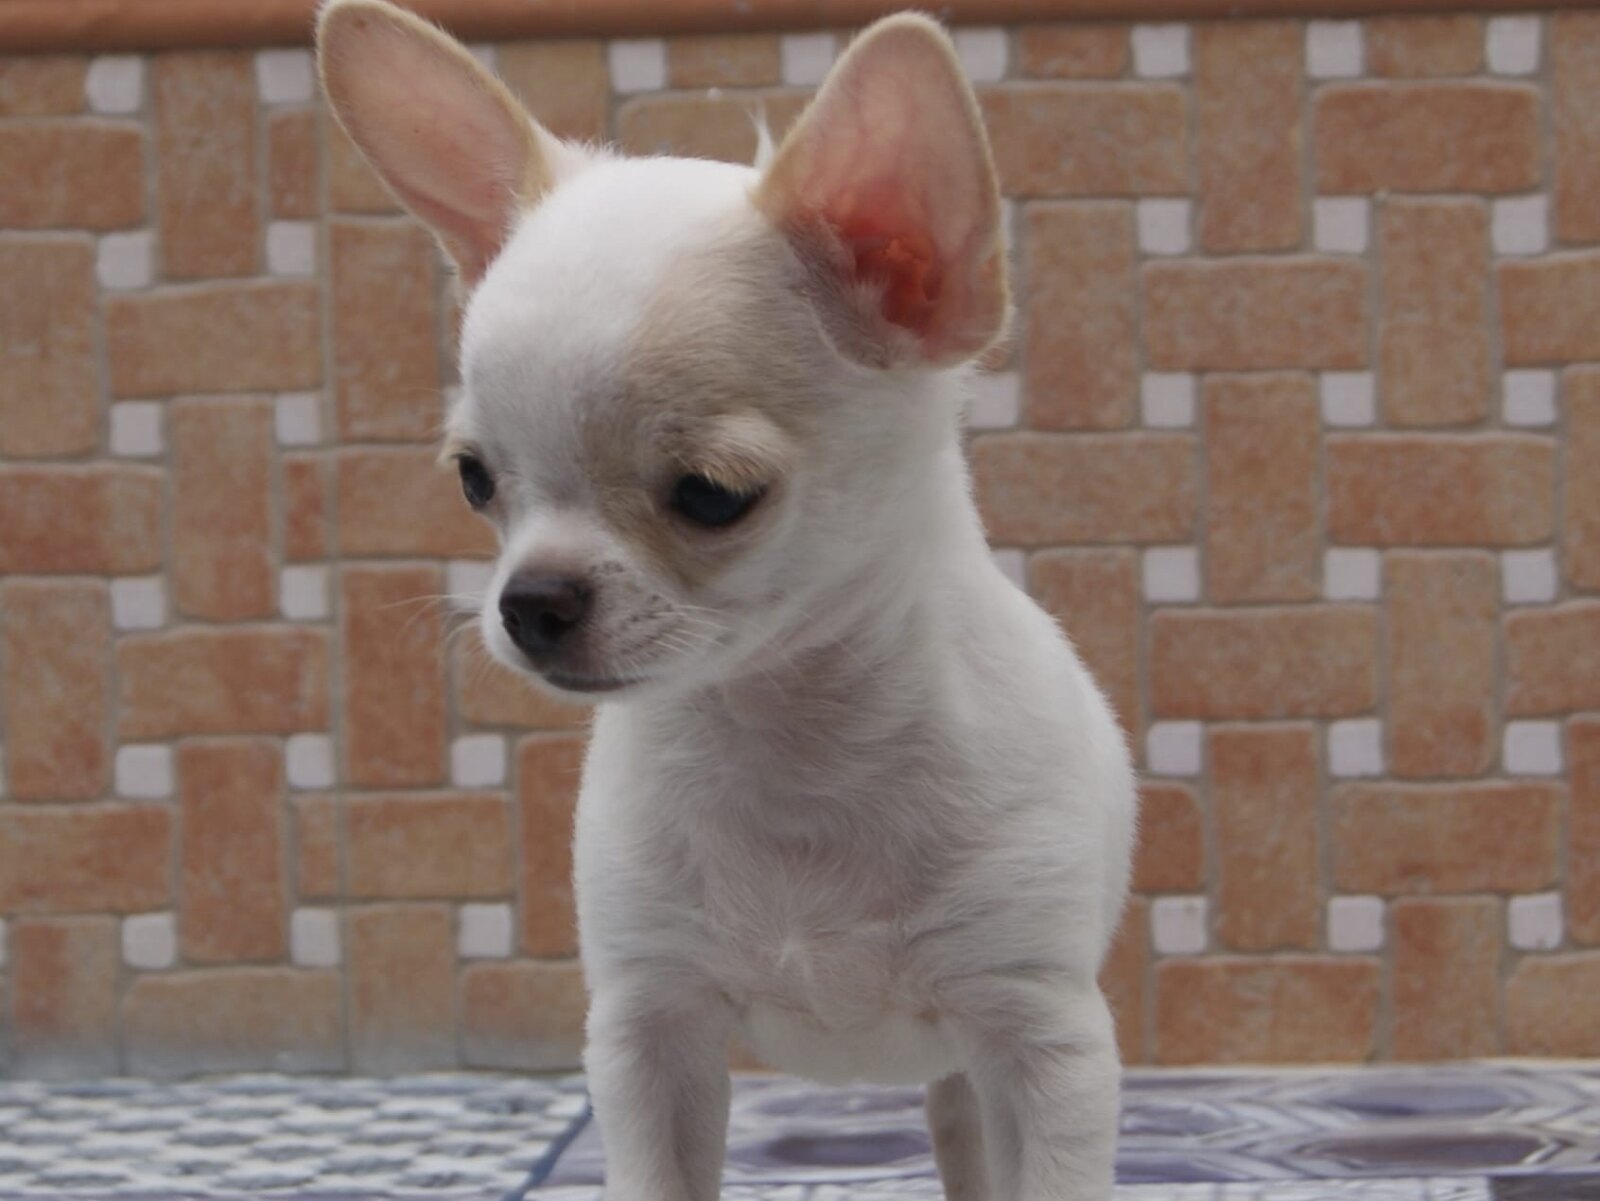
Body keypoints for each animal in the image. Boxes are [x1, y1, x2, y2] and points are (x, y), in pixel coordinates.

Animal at [318, 4, 1137, 1197]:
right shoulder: (649, 1032)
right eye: (474, 480)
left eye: (710, 496)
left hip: (974, 1065)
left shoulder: (1042, 1042)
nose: (529, 600)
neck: (793, 741)